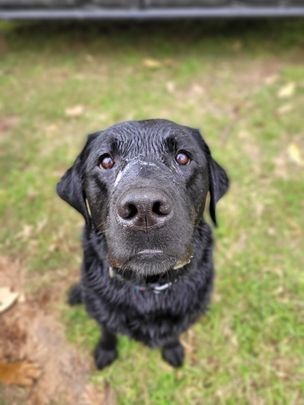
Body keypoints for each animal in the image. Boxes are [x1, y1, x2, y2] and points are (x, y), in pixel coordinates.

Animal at [56, 118, 228, 368]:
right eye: (106, 161)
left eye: (182, 157)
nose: (144, 208)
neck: (149, 287)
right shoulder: (103, 311)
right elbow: (107, 331)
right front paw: (106, 351)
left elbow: (172, 334)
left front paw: (173, 349)